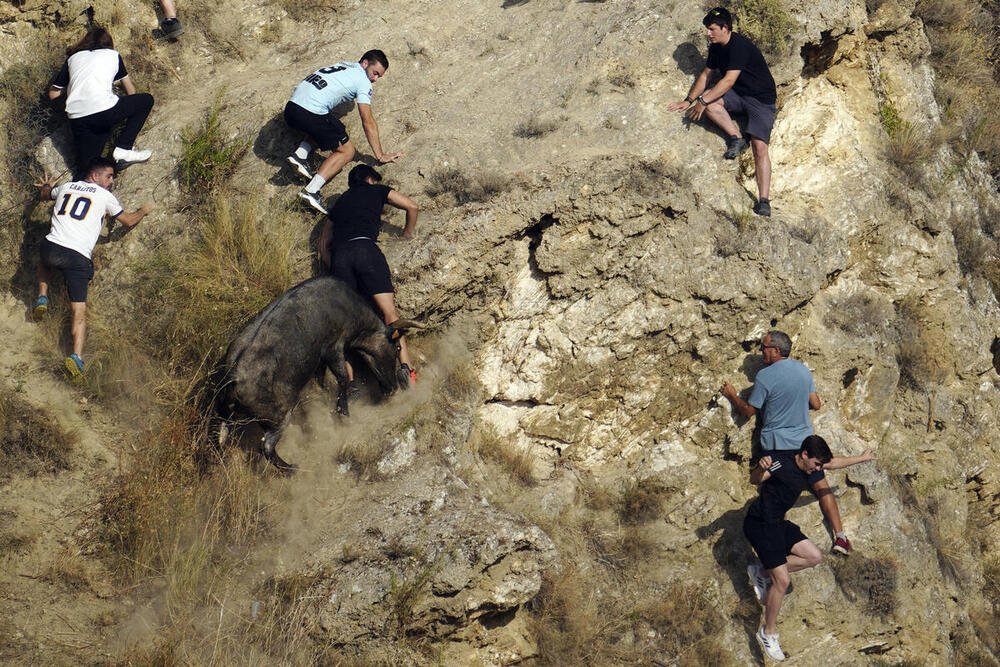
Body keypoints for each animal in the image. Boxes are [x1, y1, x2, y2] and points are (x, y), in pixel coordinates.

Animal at [217, 280, 420, 472]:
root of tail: (233, 380)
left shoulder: (320, 362)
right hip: (280, 416)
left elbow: (320, 383)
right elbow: (342, 378)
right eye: (397, 347)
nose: (392, 388)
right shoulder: (333, 348)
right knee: (266, 447)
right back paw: (292, 469)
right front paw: (343, 412)